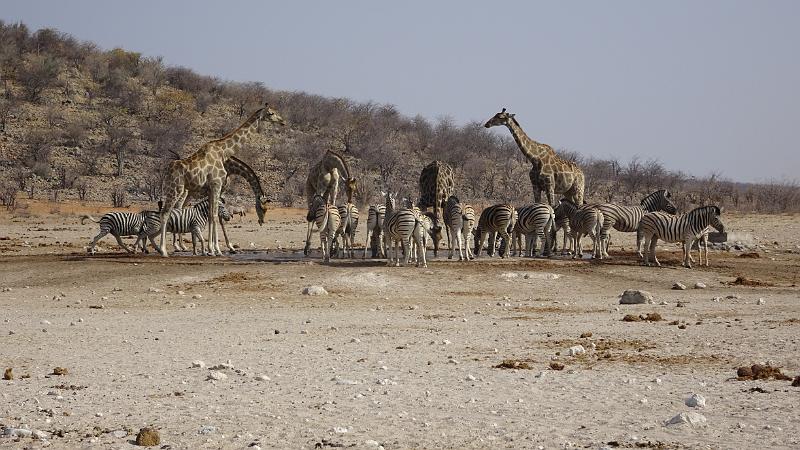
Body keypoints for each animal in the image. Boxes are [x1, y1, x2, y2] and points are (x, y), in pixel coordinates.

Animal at [158, 103, 286, 256]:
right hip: (176, 189)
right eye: (271, 113)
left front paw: (212, 249)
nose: (283, 121)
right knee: (166, 213)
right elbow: (214, 216)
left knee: (174, 211)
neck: (224, 152)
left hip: (178, 190)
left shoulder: (212, 188)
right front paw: (216, 249)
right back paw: (164, 250)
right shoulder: (217, 185)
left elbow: (212, 215)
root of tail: (167, 170)